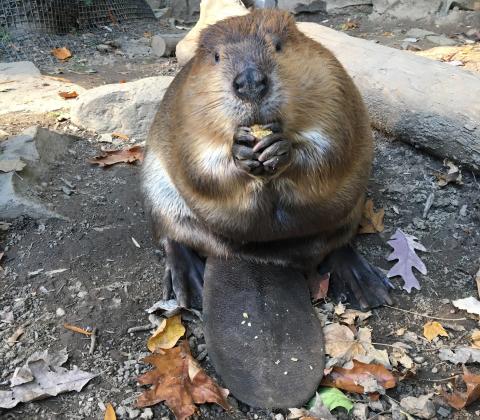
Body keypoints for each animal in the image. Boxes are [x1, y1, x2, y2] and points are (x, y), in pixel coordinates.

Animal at [142, 8, 390, 408]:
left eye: (278, 45)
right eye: (216, 57)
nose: (250, 82)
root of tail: (260, 258)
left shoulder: (334, 85)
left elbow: (333, 147)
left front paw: (278, 149)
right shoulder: (183, 108)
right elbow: (199, 166)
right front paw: (242, 152)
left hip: (352, 206)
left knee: (337, 242)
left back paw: (365, 285)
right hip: (153, 184)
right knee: (172, 235)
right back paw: (188, 284)